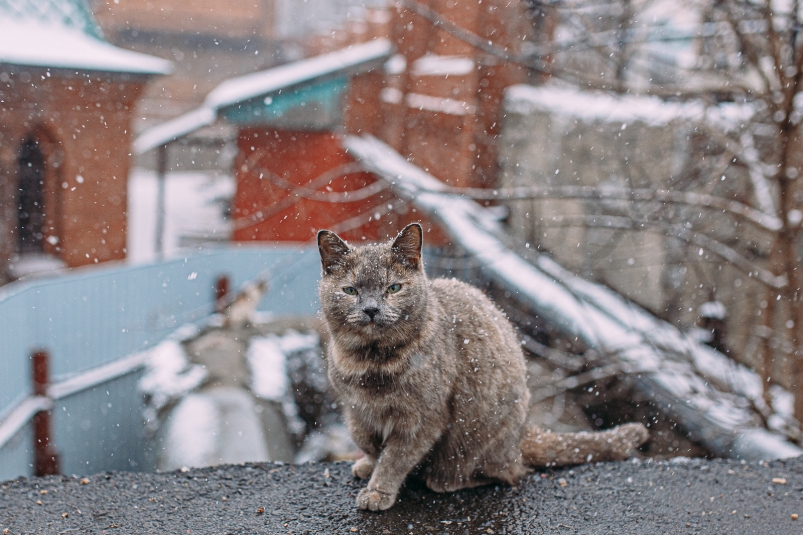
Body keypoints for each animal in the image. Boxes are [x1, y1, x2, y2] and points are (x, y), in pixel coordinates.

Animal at [318, 222, 652, 510]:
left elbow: (395, 458)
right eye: (350, 291)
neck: (371, 364)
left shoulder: (423, 419)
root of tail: (521, 436)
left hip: (475, 438)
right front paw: (369, 465)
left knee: (499, 474)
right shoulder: (356, 412)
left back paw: (443, 477)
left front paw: (378, 491)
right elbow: (370, 444)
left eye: (393, 288)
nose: (371, 309)